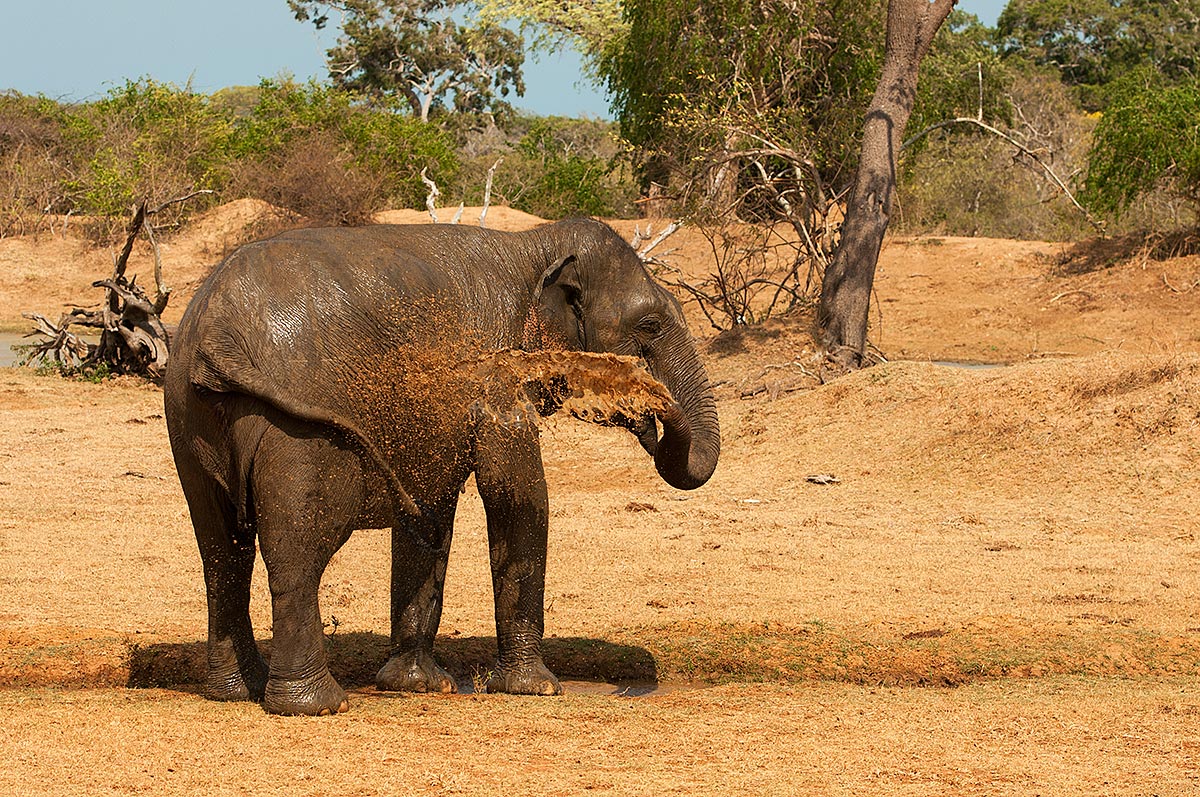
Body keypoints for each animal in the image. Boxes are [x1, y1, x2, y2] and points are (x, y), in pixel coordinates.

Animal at [163, 218, 715, 715]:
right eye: (649, 326)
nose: (651, 406)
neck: (535, 244)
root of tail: (215, 330)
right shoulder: (495, 371)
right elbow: (517, 494)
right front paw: (536, 690)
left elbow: (429, 509)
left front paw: (418, 686)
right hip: (294, 429)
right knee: (300, 550)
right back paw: (316, 706)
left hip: (187, 418)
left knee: (222, 552)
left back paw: (236, 692)